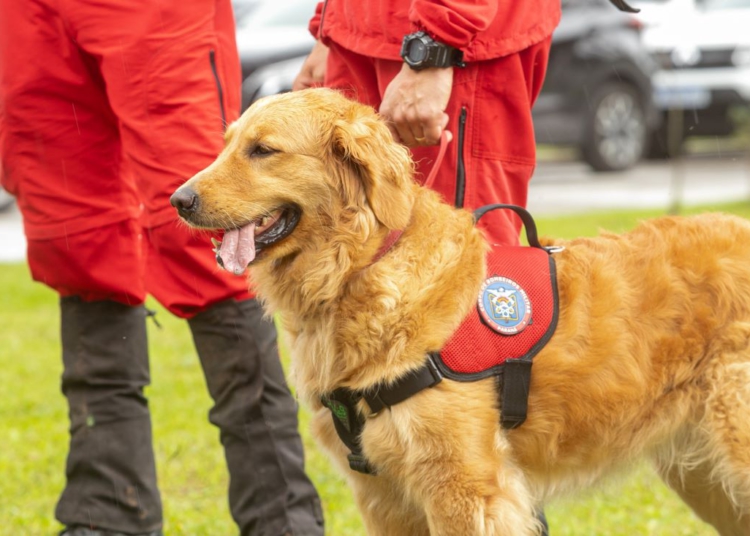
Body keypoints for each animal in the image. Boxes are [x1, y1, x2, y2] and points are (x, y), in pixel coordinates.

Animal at [172, 88, 750, 536]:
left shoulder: (465, 487)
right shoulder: (383, 497)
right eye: (228, 145)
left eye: (263, 150)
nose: (178, 200)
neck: (362, 268)